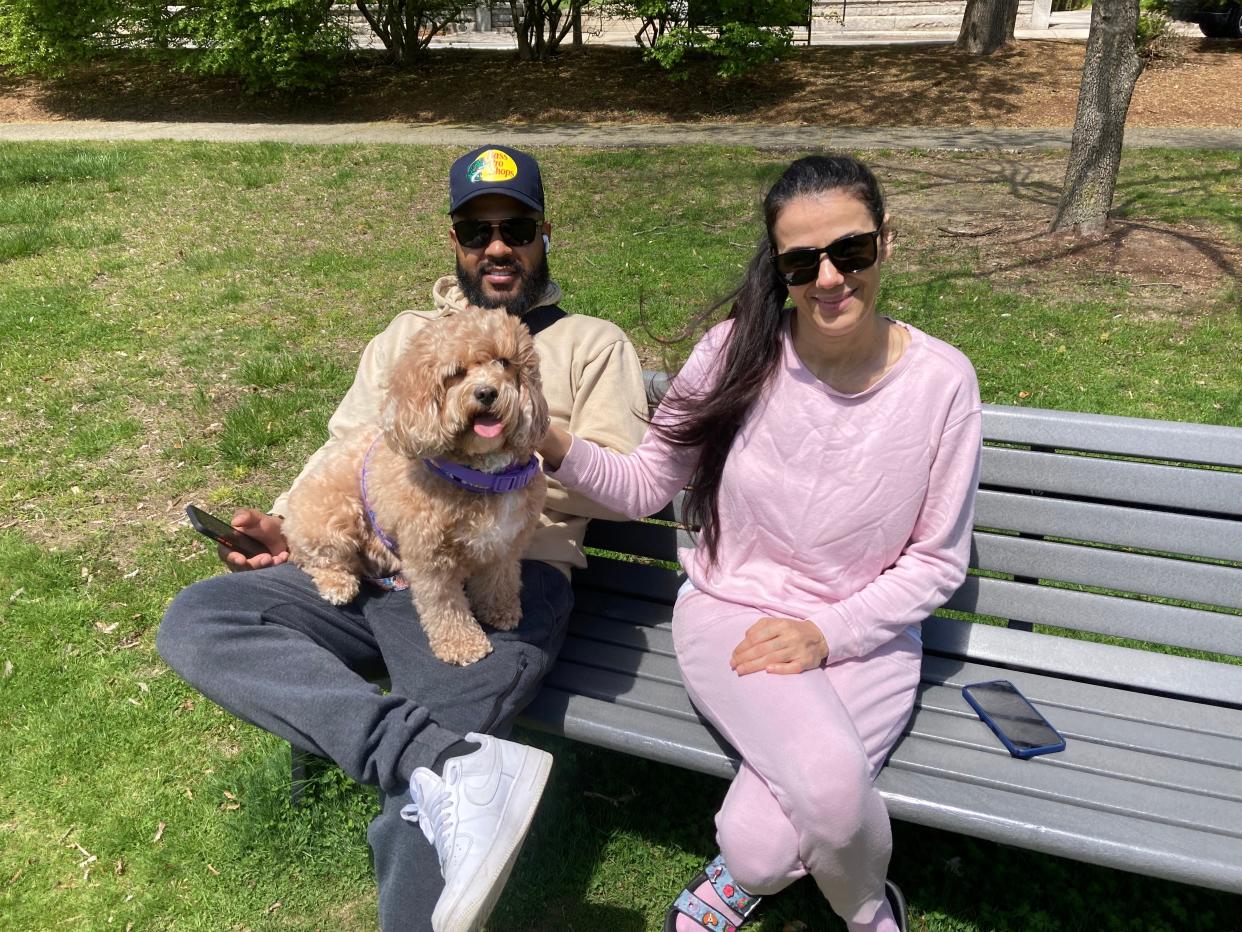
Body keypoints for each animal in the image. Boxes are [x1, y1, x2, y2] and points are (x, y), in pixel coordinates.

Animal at [288, 306, 551, 666]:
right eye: (456, 373)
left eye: (503, 362)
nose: (486, 393)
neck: (482, 475)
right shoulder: (430, 559)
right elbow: (444, 606)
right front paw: (463, 645)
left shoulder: (504, 546)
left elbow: (499, 581)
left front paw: (500, 612)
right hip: (333, 517)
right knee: (320, 560)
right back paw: (337, 586)